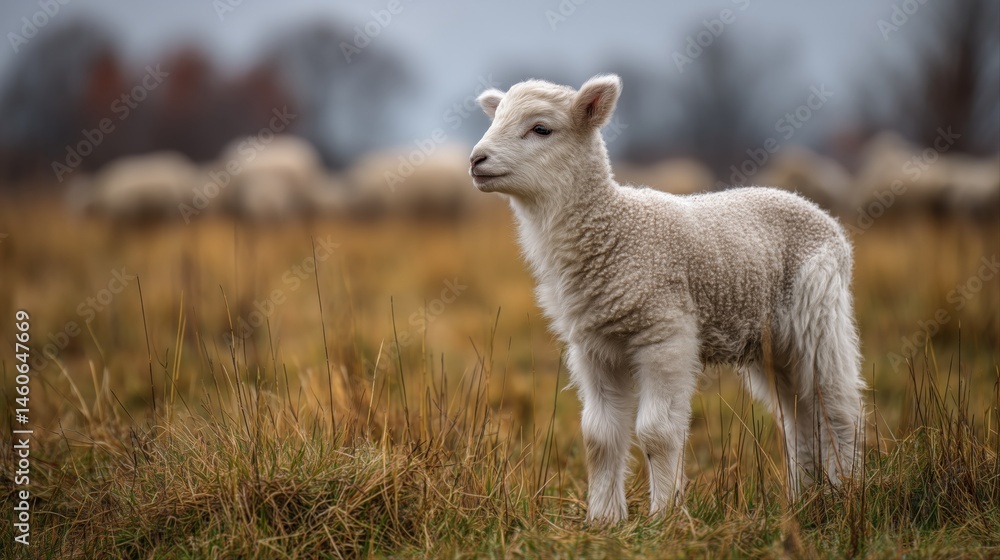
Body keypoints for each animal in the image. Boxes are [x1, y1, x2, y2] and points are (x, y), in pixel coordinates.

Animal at [470, 75, 865, 523]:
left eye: (541, 129)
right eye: (496, 118)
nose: (476, 159)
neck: (613, 228)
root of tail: (819, 212)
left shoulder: (664, 332)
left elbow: (656, 433)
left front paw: (665, 517)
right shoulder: (594, 346)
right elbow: (599, 436)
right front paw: (604, 520)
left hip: (818, 313)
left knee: (837, 407)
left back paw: (845, 492)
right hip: (772, 342)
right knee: (799, 418)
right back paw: (806, 500)